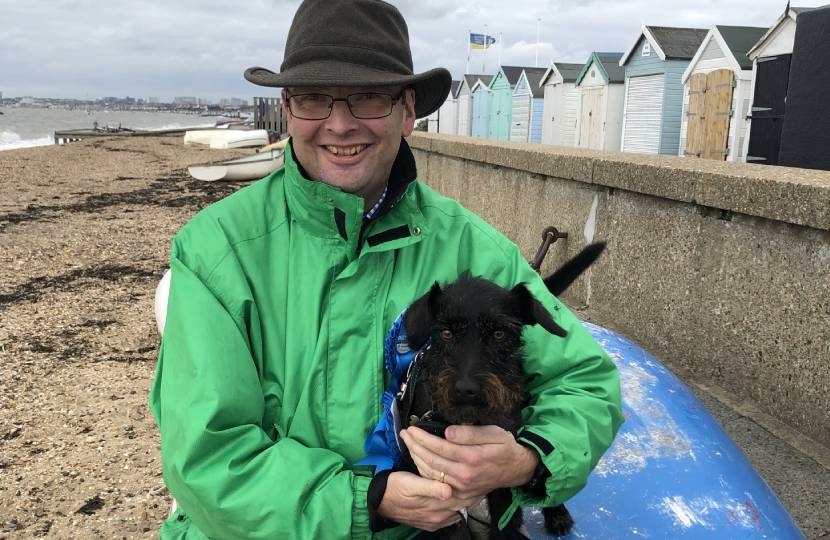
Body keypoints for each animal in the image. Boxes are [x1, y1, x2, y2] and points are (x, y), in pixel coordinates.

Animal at [396, 243, 604, 536]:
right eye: (446, 333)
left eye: (499, 334)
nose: (466, 390)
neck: (467, 422)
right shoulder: (433, 489)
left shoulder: (499, 476)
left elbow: (506, 521)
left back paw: (557, 513)